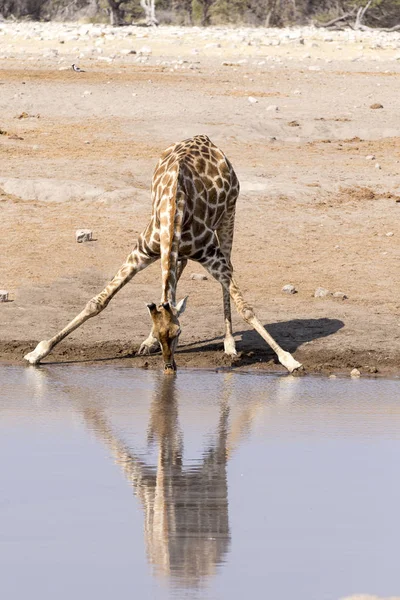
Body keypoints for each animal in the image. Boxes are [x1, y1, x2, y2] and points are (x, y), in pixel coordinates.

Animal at [23, 134, 302, 372]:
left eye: (179, 334)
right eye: (160, 335)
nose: (169, 367)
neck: (174, 210)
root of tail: (206, 139)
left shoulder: (212, 257)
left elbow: (246, 309)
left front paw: (289, 360)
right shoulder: (141, 252)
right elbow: (98, 302)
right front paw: (38, 352)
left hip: (229, 216)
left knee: (225, 273)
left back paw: (229, 344)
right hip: (182, 249)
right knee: (175, 278)